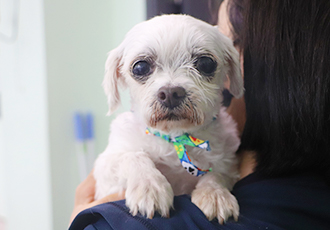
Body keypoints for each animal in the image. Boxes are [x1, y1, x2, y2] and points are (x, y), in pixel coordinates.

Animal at [94, 13, 244, 223]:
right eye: (140, 67)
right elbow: (134, 156)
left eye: (206, 63)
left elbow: (216, 175)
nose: (171, 93)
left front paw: (215, 194)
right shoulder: (106, 168)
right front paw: (150, 187)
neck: (174, 137)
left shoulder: (228, 164)